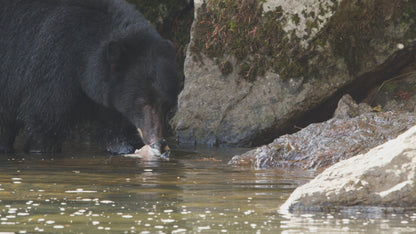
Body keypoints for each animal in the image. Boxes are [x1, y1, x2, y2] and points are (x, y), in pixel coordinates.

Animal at [0, 0, 177, 154]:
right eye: (143, 103)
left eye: (167, 105)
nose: (158, 142)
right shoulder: (53, 62)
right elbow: (44, 117)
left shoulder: (106, 91)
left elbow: (114, 125)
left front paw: (123, 146)